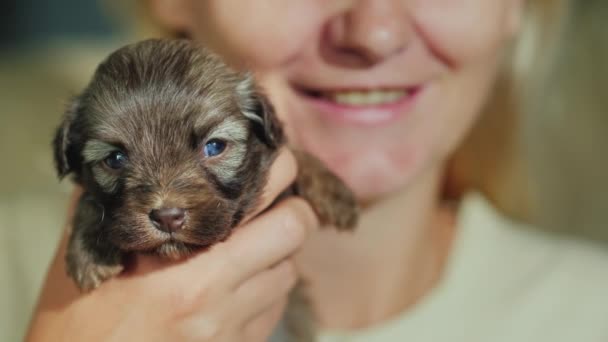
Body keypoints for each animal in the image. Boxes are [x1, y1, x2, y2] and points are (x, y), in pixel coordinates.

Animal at [52, 38, 358, 342]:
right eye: (115, 159)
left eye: (214, 147)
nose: (168, 217)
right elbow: (89, 202)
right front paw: (89, 249)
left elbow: (294, 154)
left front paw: (334, 191)